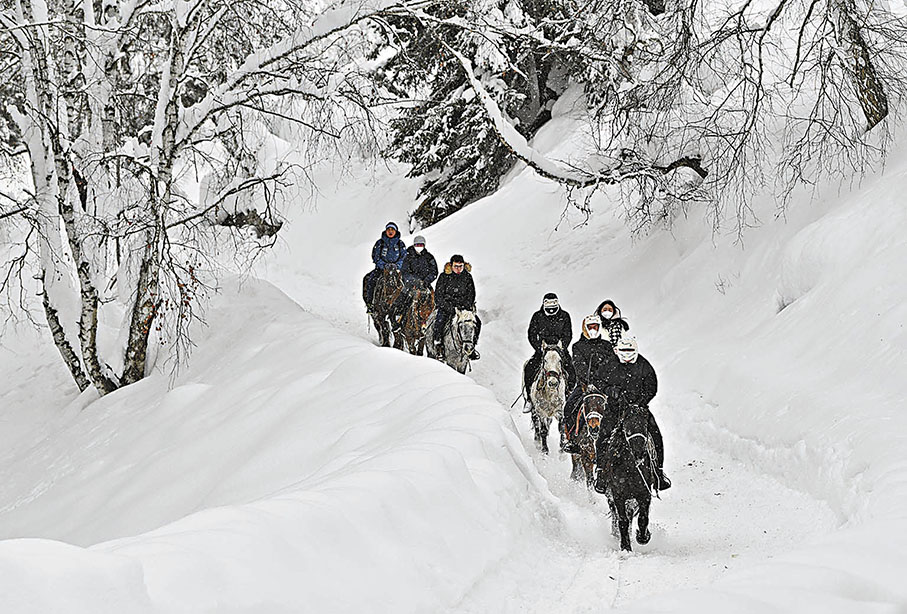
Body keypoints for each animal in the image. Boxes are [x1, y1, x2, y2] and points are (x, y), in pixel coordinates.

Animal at [595, 400, 657, 552]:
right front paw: (625, 547)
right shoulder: (618, 496)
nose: (639, 452)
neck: (631, 469)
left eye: (644, 425)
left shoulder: (644, 495)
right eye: (627, 425)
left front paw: (643, 537)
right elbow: (622, 520)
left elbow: (643, 519)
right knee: (616, 515)